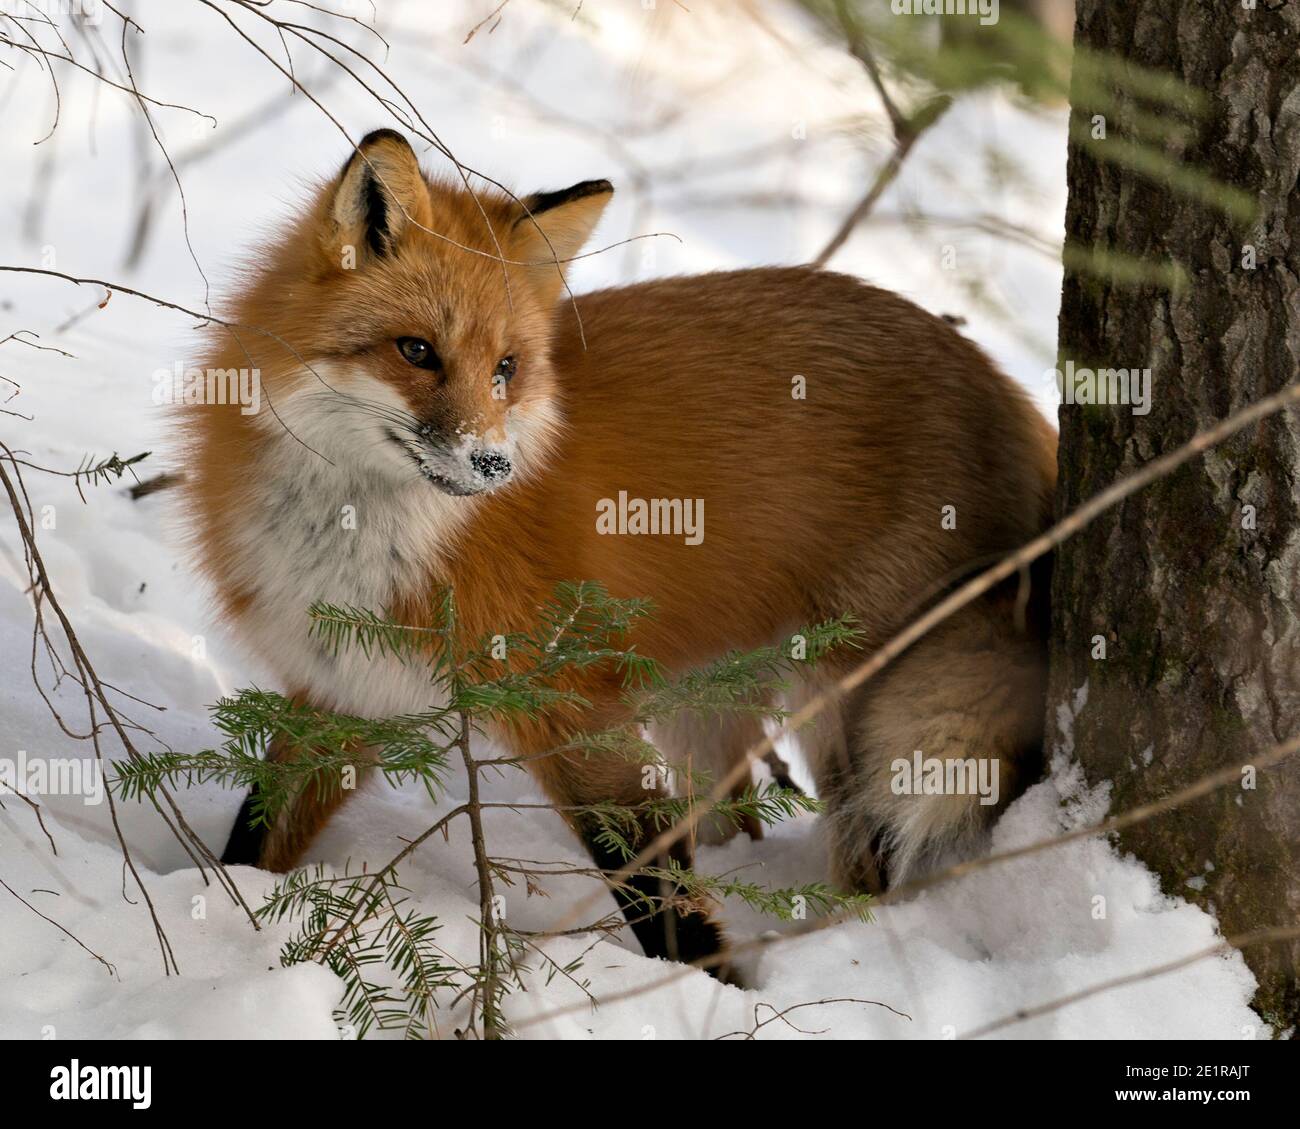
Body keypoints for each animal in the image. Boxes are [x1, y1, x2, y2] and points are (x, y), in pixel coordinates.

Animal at [185, 130, 1055, 967]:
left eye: (506, 369)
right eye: (417, 351)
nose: (494, 465)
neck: (362, 539)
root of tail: (1009, 392)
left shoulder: (572, 704)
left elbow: (657, 890)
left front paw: (713, 992)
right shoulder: (345, 688)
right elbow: (254, 836)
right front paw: (230, 913)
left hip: (844, 696)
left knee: (865, 858)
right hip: (703, 701)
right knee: (738, 819)